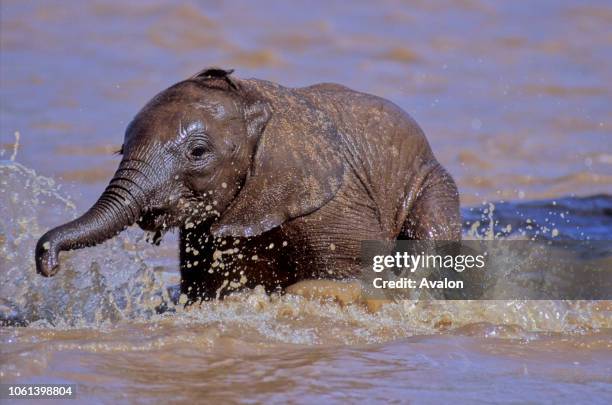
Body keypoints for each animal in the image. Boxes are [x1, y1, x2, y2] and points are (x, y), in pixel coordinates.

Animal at [35, 68, 460, 302]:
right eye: (120, 150)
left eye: (198, 152)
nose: (47, 264)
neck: (255, 102)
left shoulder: (334, 206)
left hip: (430, 178)